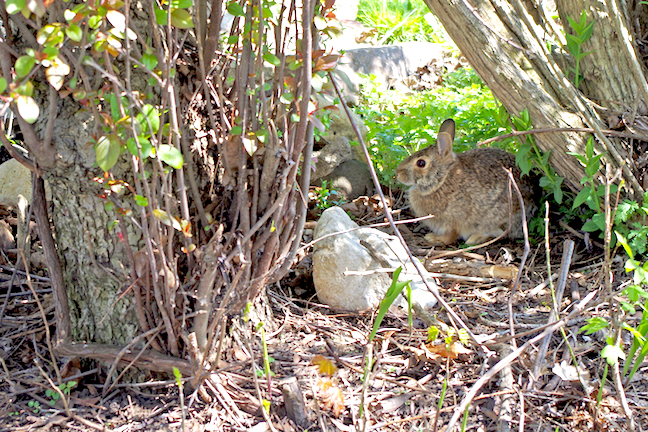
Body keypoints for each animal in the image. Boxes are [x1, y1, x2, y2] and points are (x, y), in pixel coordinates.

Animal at [394, 119, 536, 246]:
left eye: (421, 163)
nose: (398, 173)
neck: (442, 180)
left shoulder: (452, 221)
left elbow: (450, 236)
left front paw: (434, 238)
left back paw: (474, 239)